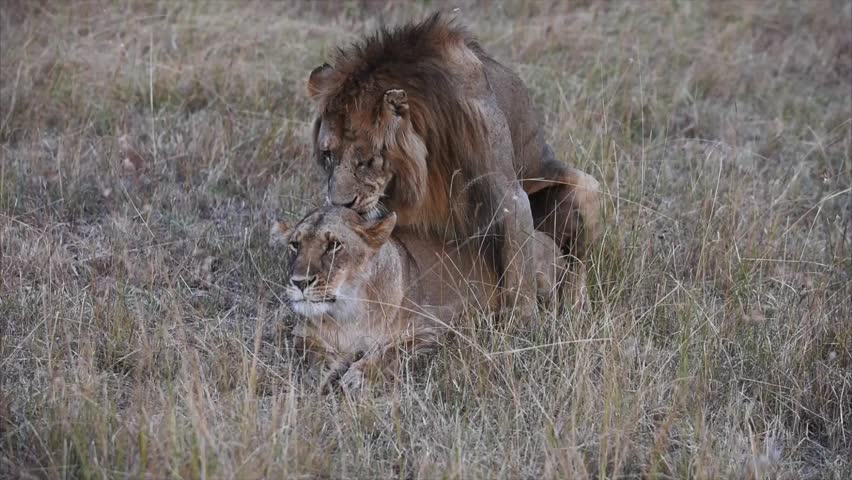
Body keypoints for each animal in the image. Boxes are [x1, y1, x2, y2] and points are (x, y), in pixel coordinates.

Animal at [272, 206, 564, 394]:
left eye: (334, 245)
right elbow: (315, 354)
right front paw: (315, 376)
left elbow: (390, 353)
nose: (299, 282)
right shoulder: (304, 333)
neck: (347, 312)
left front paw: (359, 376)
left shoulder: (433, 328)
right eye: (295, 245)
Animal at [304, 13, 600, 316]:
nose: (340, 204)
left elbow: (519, 276)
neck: (426, 153)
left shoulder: (511, 197)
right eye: (327, 154)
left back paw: (576, 306)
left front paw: (523, 324)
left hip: (588, 188)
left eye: (367, 159)